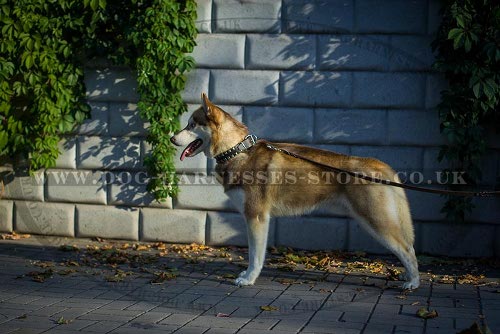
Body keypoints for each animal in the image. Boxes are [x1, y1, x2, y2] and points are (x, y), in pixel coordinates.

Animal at [170, 93, 420, 290]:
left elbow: (255, 256)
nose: (172, 138)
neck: (237, 151)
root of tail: (379, 164)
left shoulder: (256, 217)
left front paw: (249, 278)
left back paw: (413, 282)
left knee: (408, 250)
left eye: (191, 125)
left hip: (375, 221)